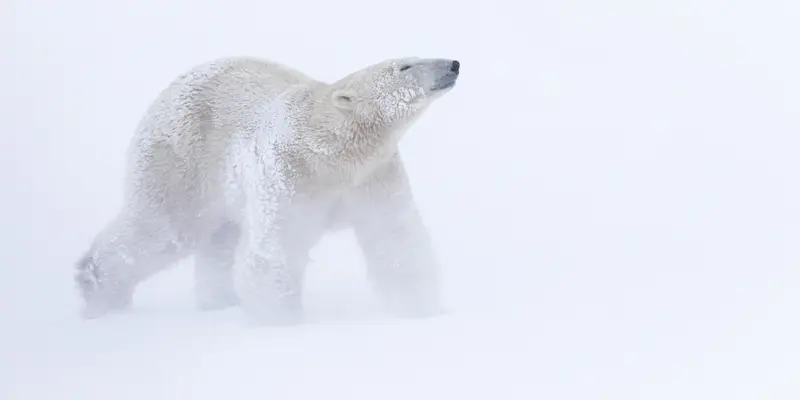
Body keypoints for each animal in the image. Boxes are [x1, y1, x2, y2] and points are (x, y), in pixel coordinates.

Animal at [74, 55, 460, 325]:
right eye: (404, 65)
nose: (453, 64)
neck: (334, 153)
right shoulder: (289, 169)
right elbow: (276, 244)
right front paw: (281, 322)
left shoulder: (373, 175)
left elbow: (394, 234)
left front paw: (421, 308)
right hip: (183, 159)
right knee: (164, 227)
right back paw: (97, 284)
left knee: (218, 241)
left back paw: (220, 301)